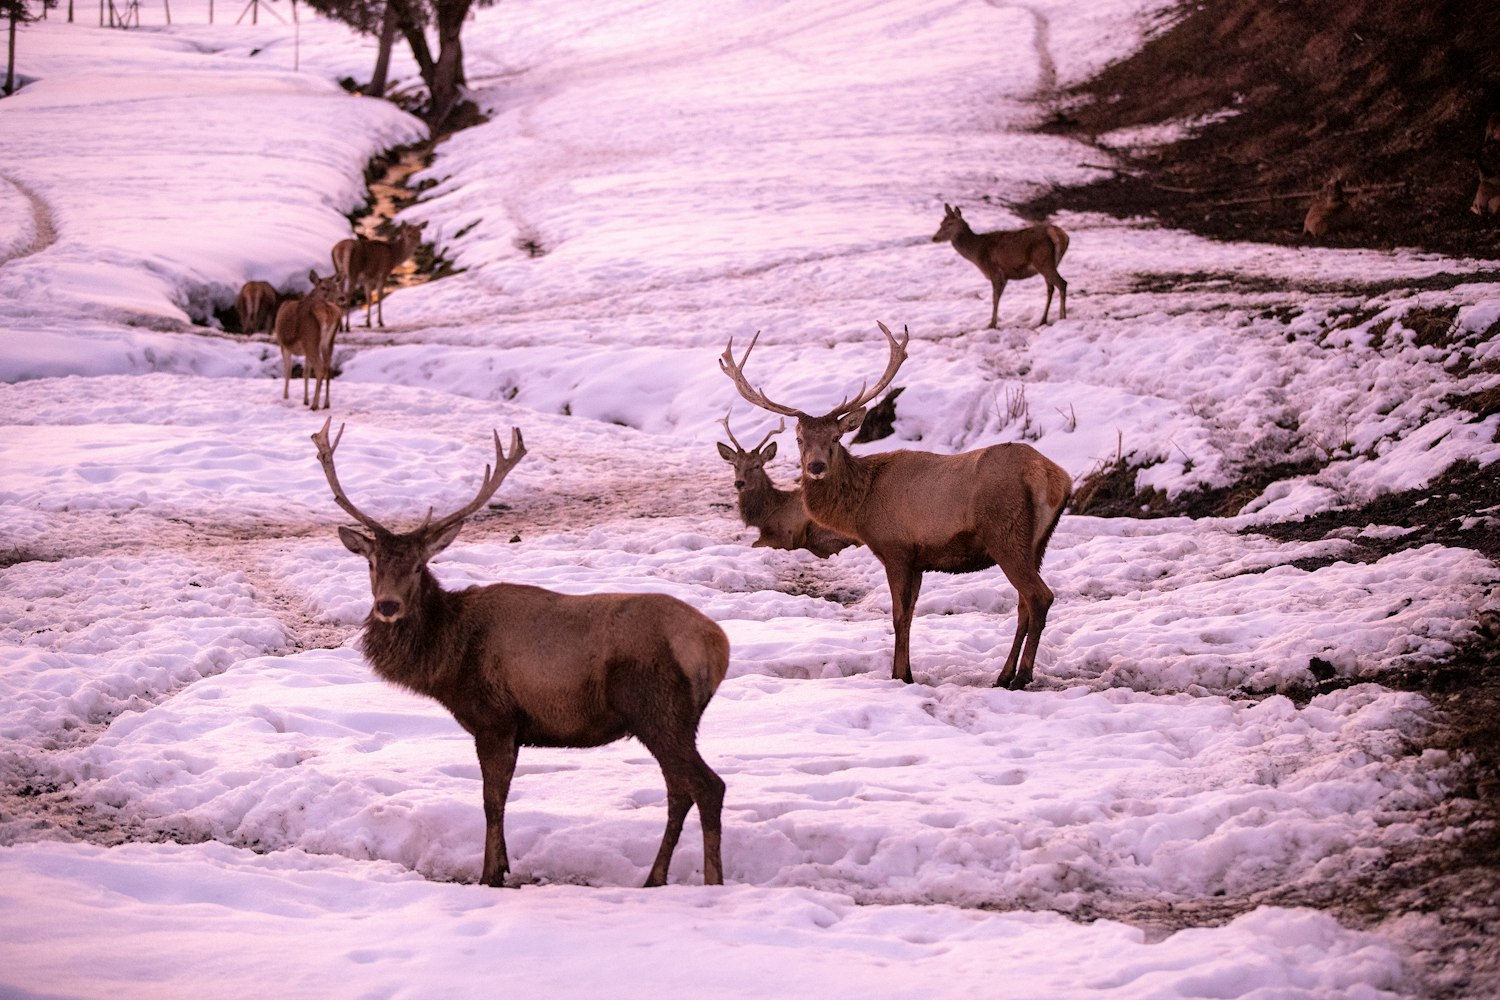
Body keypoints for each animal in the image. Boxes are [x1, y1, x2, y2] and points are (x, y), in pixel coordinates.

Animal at [310, 419, 726, 887]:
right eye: (372, 563)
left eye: (418, 565)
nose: (387, 606)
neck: (447, 658)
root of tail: (718, 646)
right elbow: (500, 798)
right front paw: (502, 865)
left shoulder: (494, 718)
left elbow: (492, 800)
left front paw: (490, 873)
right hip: (677, 720)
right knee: (680, 790)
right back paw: (655, 878)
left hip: (657, 708)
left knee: (707, 786)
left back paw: (711, 881)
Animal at [717, 410, 858, 560]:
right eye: (734, 465)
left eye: (757, 465)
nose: (739, 482)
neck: (765, 515)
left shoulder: (783, 533)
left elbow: (754, 544)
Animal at [936, 203, 1068, 328]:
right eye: (941, 223)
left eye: (950, 223)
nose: (934, 238)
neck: (977, 252)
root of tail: (1062, 235)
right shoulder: (1005, 276)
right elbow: (998, 298)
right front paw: (993, 323)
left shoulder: (994, 271)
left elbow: (995, 299)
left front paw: (991, 324)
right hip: (1051, 264)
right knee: (1051, 288)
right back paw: (1043, 320)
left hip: (1044, 262)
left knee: (1062, 283)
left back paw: (1062, 317)